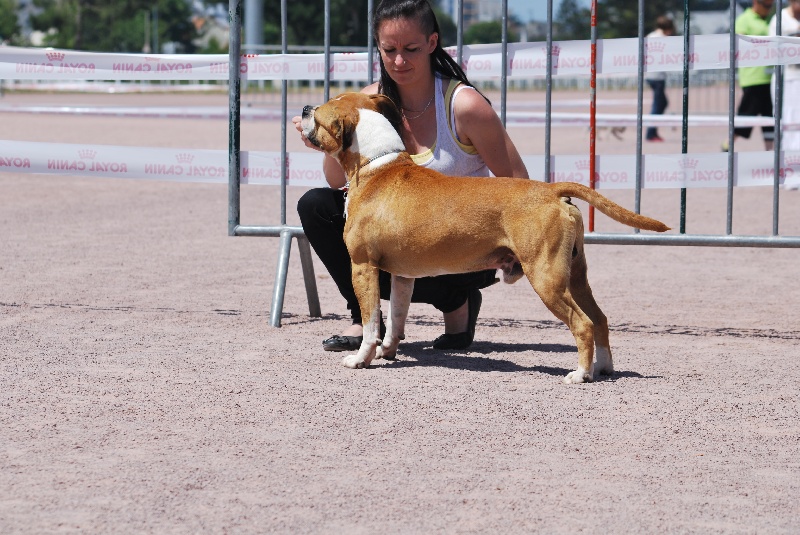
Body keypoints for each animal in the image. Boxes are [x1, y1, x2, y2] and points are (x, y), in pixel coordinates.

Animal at [300, 93, 668, 386]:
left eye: (319, 115)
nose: (303, 107)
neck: (376, 165)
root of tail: (551, 190)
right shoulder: (403, 275)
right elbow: (395, 317)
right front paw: (388, 351)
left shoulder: (363, 266)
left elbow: (371, 321)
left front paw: (361, 358)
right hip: (575, 275)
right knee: (600, 318)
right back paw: (604, 368)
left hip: (546, 278)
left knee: (583, 323)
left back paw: (581, 374)